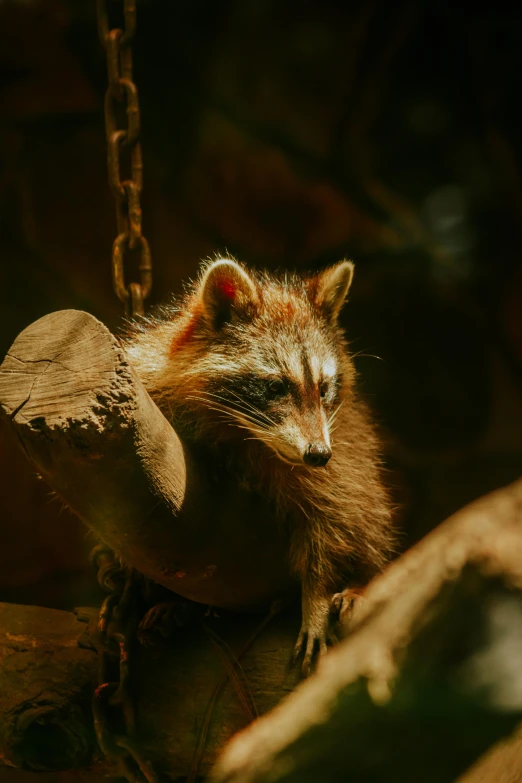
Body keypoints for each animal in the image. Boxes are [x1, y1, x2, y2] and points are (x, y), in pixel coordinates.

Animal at [126, 258, 392, 672]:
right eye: (275, 387)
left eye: (324, 388)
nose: (318, 454)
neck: (242, 431)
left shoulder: (341, 449)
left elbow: (335, 518)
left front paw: (316, 597)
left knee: (369, 517)